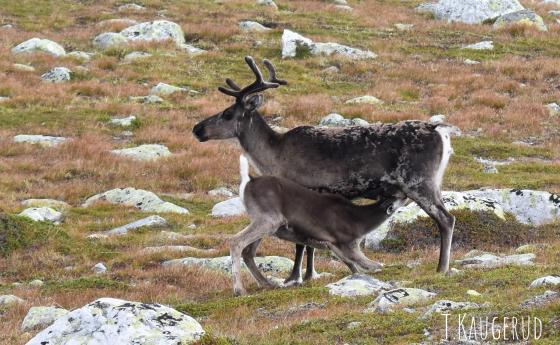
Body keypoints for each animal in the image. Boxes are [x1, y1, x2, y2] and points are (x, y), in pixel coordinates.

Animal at [229, 155, 406, 294]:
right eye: (399, 193)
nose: (406, 193)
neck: (360, 221)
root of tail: (248, 182)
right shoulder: (346, 242)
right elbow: (374, 265)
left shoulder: (333, 245)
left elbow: (353, 266)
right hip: (268, 220)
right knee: (236, 241)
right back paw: (240, 290)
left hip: (263, 223)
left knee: (248, 252)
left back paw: (267, 284)